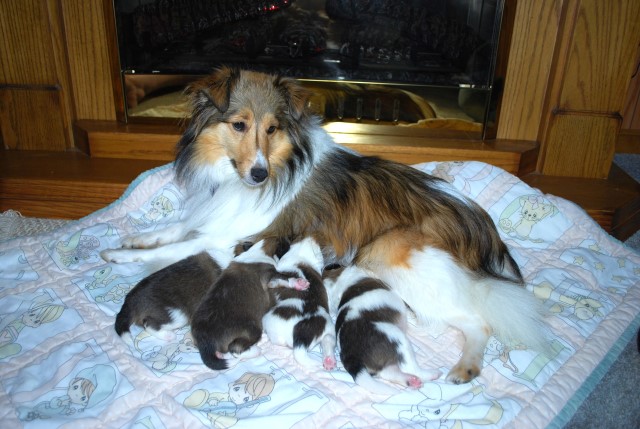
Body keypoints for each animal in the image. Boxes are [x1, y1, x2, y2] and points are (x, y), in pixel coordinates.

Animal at [190, 239, 308, 370]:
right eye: (284, 243)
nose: (290, 242)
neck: (257, 250)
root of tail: (205, 342)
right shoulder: (270, 274)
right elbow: (284, 278)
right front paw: (299, 283)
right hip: (252, 329)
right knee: (235, 349)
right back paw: (255, 350)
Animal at [262, 236, 338, 370]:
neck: (300, 256)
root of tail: (302, 337)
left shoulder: (273, 278)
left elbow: (279, 280)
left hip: (268, 322)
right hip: (329, 329)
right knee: (328, 342)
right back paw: (329, 360)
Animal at [324, 262, 440, 392]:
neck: (338, 283)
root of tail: (351, 356)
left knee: (390, 372)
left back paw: (411, 381)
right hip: (398, 339)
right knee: (411, 368)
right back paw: (432, 374)